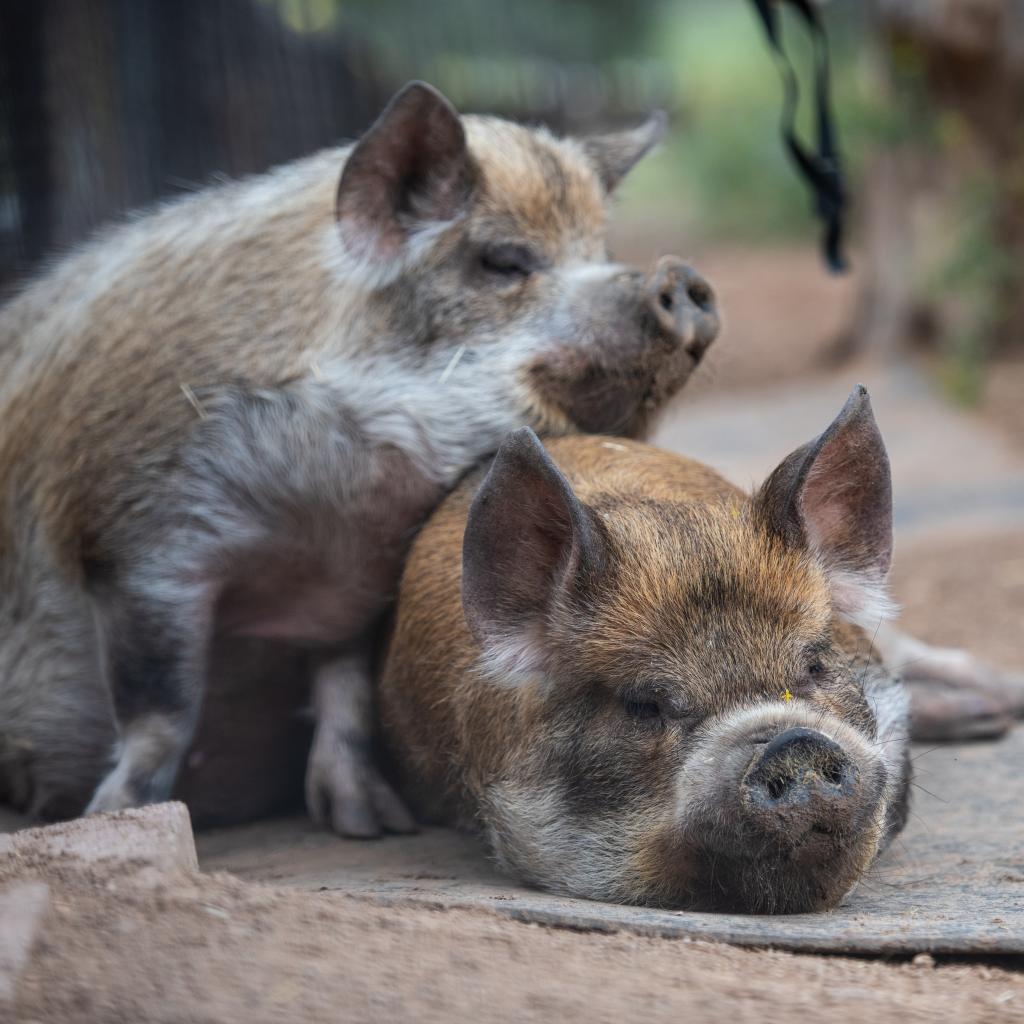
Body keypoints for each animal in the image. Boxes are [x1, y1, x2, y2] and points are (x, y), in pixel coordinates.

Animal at [0, 81, 721, 833]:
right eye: (503, 261)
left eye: (601, 248)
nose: (682, 277)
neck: (328, 526)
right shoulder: (139, 539)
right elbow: (160, 710)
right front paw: (113, 813)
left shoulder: (361, 594)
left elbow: (346, 694)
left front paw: (369, 824)